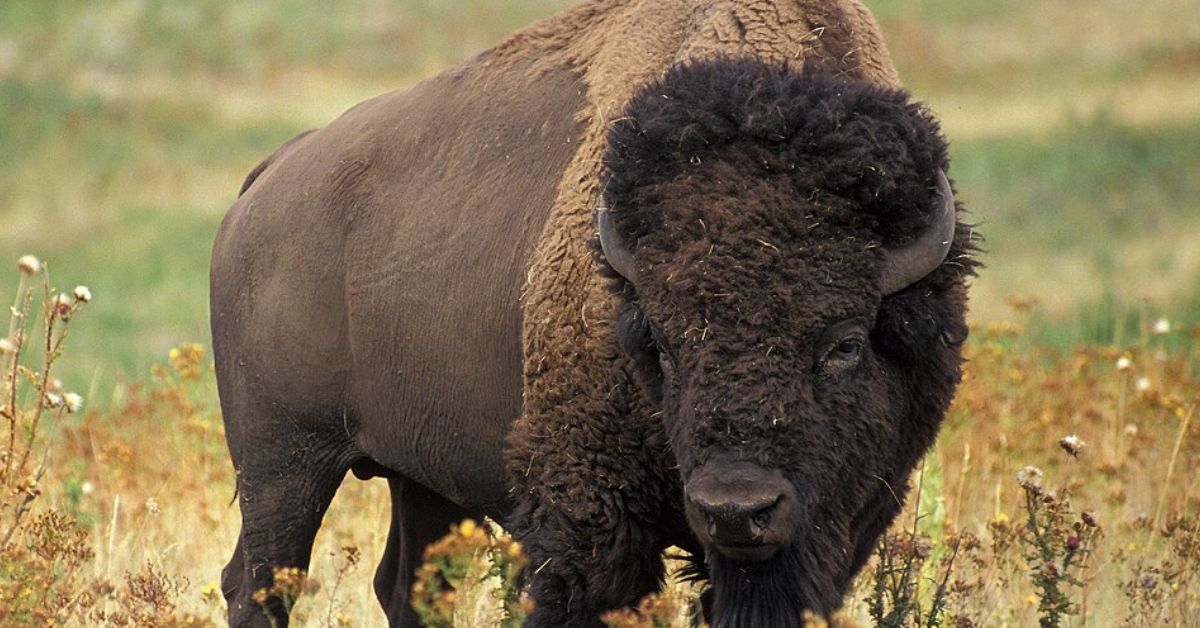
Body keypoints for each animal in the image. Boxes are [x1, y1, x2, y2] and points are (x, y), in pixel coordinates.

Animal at [211, 1, 976, 626]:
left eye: (845, 343)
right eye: (660, 345)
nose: (736, 508)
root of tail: (267, 182)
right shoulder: (587, 521)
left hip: (418, 475)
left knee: (406, 587)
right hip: (283, 463)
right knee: (258, 583)